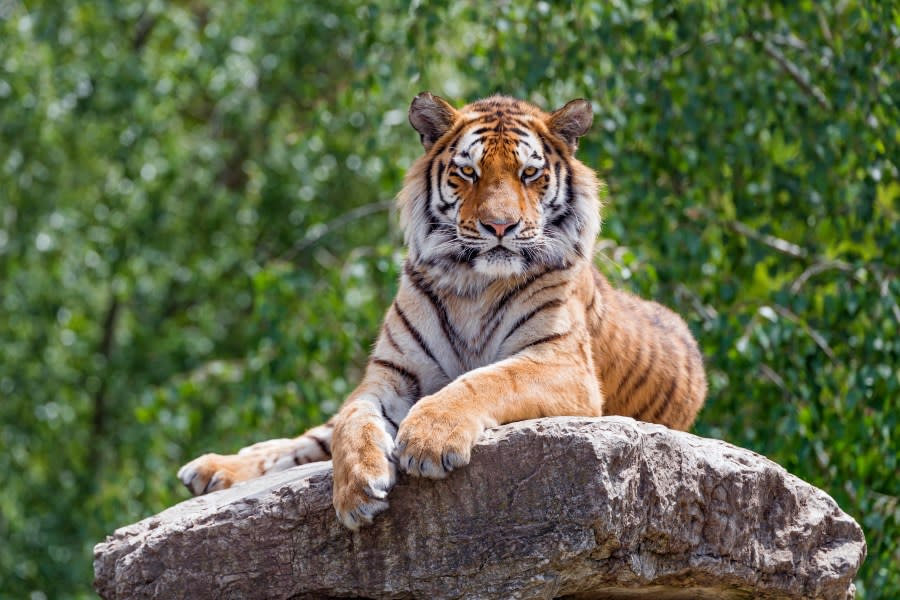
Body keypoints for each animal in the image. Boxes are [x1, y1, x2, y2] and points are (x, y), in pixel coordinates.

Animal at [179, 92, 708, 528]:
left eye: (529, 174)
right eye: (468, 172)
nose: (500, 226)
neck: (473, 284)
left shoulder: (561, 364)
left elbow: (486, 379)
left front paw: (428, 439)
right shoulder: (390, 374)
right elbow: (353, 420)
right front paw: (356, 490)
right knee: (306, 441)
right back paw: (211, 469)